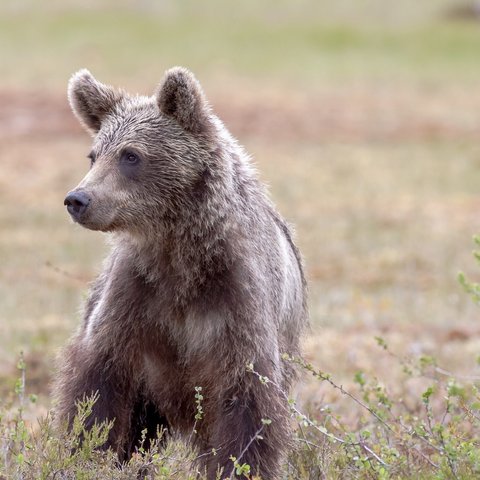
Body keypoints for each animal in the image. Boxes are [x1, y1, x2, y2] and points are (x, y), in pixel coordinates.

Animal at [53, 67, 308, 480]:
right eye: (93, 155)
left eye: (131, 155)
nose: (78, 199)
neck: (180, 255)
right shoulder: (134, 299)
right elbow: (97, 393)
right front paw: (87, 454)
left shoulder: (236, 302)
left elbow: (248, 406)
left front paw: (240, 466)